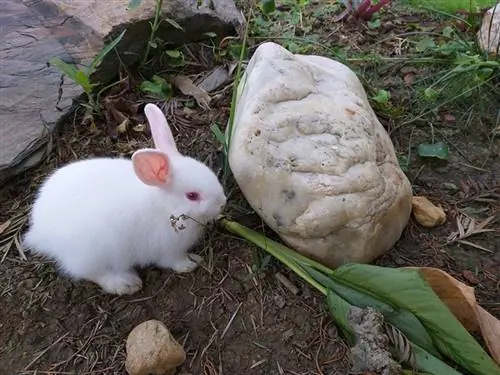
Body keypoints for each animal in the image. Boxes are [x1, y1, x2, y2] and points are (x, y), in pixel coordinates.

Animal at [23, 103, 227, 296]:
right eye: (192, 196)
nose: (222, 202)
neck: (164, 206)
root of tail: (40, 231)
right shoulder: (168, 249)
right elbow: (173, 261)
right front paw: (191, 263)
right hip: (91, 254)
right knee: (90, 273)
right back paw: (125, 283)